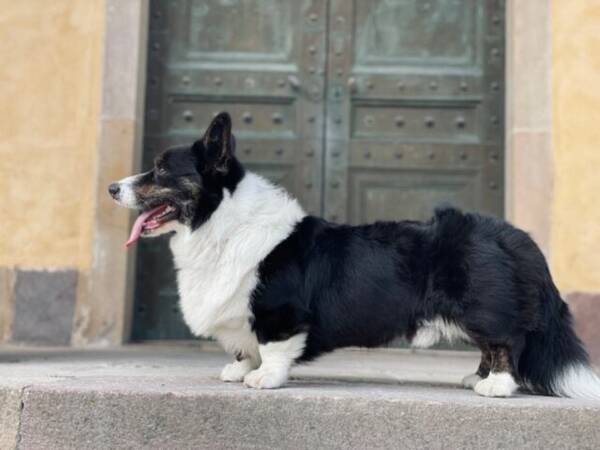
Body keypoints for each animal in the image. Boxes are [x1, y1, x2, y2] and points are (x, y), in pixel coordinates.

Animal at [110, 111, 600, 398]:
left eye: (160, 171)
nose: (113, 188)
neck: (219, 221)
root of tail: (514, 236)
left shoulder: (279, 313)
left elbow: (272, 348)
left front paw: (263, 377)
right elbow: (244, 347)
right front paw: (238, 368)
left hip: (483, 306)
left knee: (505, 342)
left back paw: (495, 385)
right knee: (489, 345)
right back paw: (475, 378)